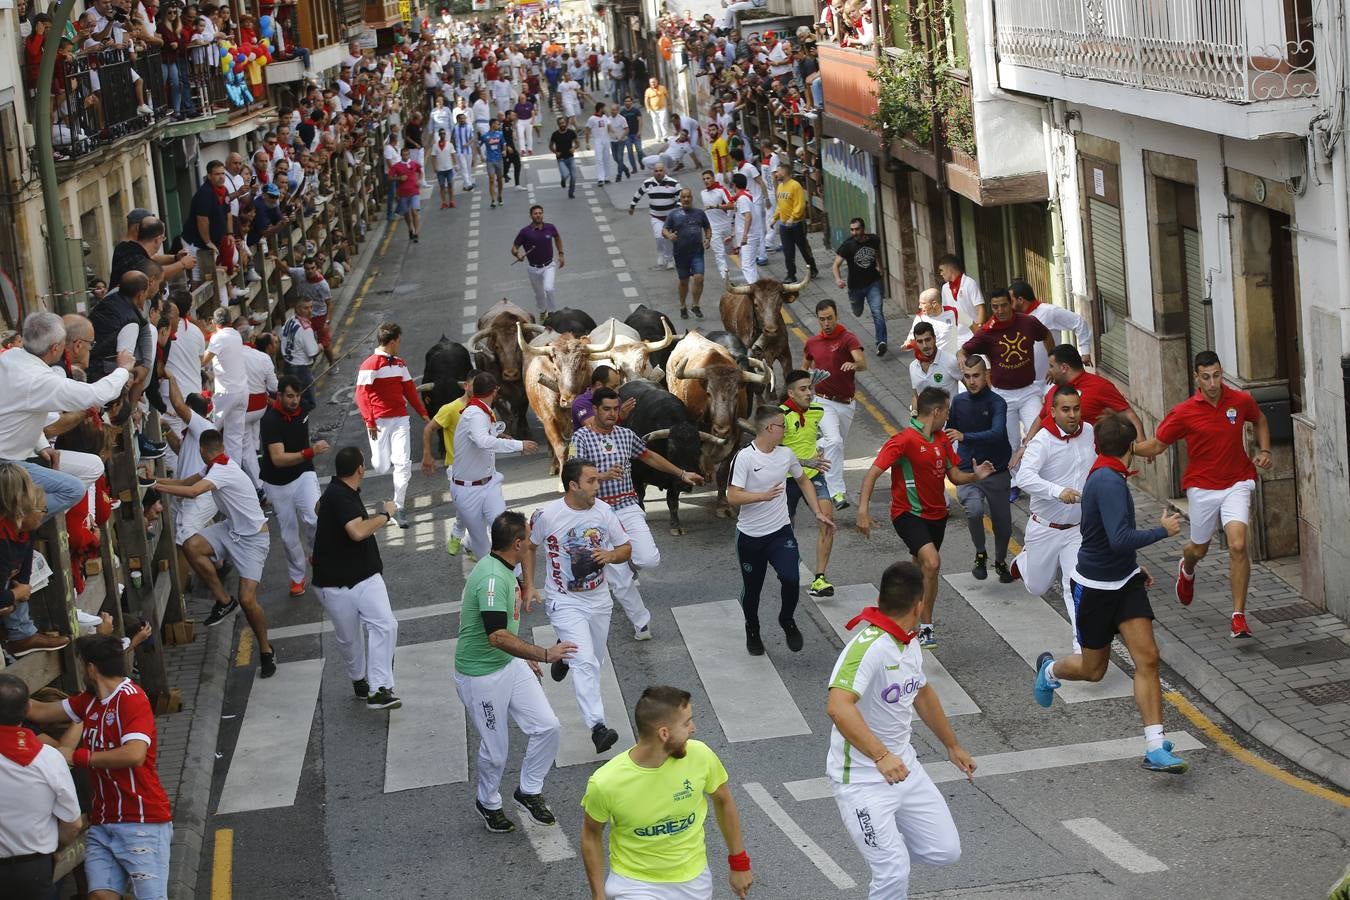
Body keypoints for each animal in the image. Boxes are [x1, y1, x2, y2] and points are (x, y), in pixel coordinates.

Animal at [521, 322, 618, 472]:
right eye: (555, 368)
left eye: (583, 367)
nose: (569, 400)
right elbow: (561, 448)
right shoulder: (549, 419)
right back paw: (554, 465)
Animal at [666, 330, 772, 512]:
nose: (722, 430)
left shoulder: (736, 439)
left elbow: (723, 472)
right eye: (708, 393)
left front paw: (723, 504)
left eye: (736, 394)